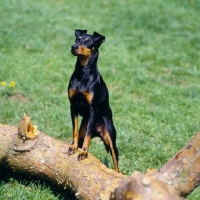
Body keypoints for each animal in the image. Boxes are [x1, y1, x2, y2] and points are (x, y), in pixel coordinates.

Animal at [68, 29, 118, 172]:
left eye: (88, 42)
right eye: (77, 39)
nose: (74, 47)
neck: (83, 74)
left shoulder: (92, 110)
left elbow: (88, 137)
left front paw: (84, 153)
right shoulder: (73, 106)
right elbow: (74, 130)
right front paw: (73, 147)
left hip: (110, 138)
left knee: (116, 163)